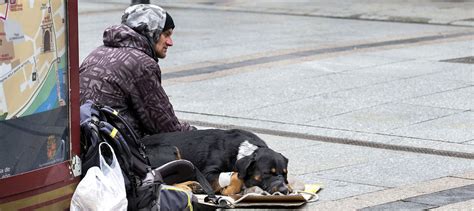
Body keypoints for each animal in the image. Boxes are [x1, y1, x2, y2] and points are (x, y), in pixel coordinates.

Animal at [141, 129, 290, 196]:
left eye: (285, 174)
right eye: (267, 173)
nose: (284, 191)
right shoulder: (207, 173)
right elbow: (236, 176)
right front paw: (230, 189)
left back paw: (193, 186)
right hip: (171, 150)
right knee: (160, 179)